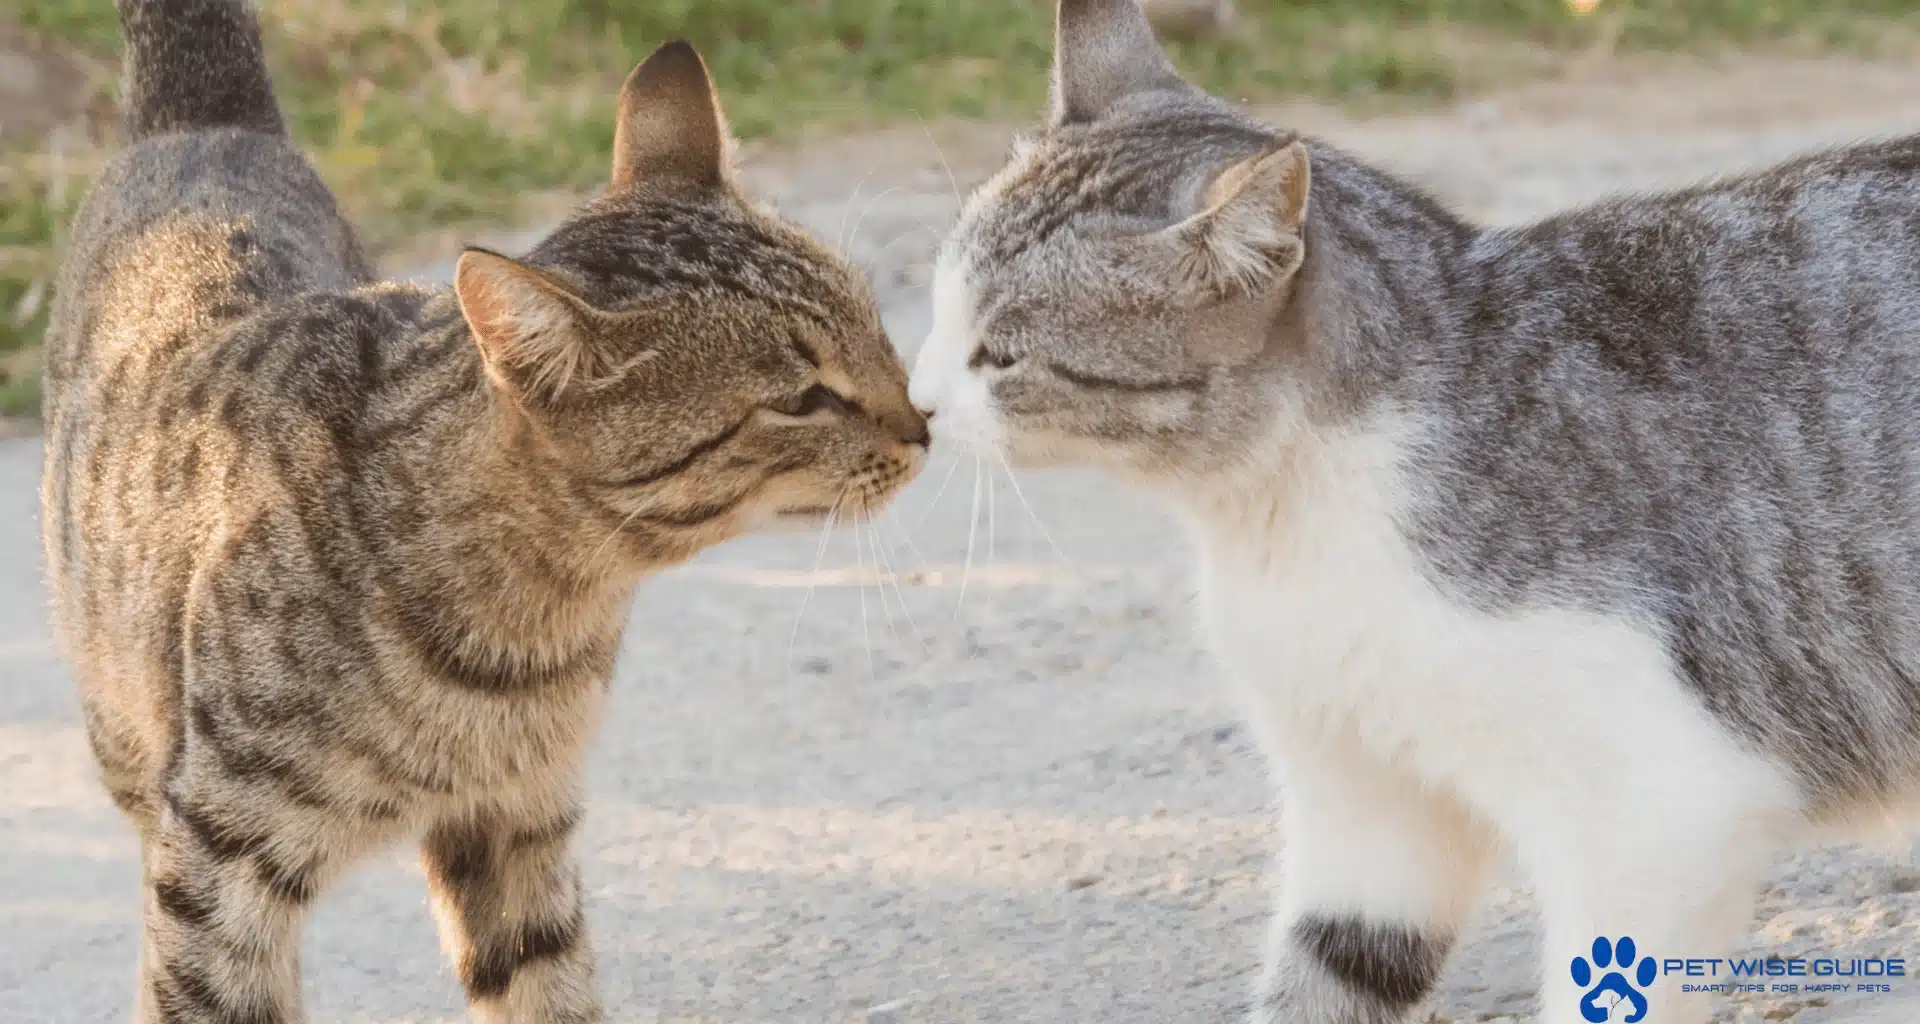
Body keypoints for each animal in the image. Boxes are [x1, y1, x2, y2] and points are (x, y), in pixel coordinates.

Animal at [37, 1, 921, 1022]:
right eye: (802, 398)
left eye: (873, 325)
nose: (924, 424)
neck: (530, 621)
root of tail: (205, 126)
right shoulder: (222, 853)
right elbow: (211, 991)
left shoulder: (515, 819)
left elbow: (549, 988)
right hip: (132, 752)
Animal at [906, 1, 1920, 1022]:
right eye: (941, 307)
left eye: (1001, 356)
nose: (915, 399)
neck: (1281, 516)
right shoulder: (1366, 815)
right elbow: (1326, 977)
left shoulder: (1662, 808)